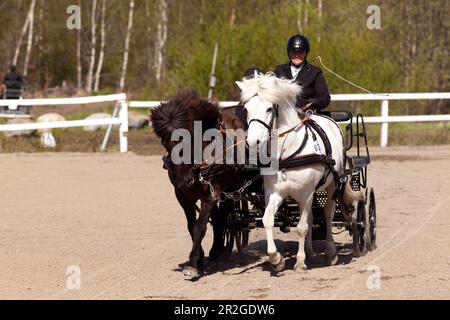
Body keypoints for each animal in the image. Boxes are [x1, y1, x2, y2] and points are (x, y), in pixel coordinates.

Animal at [150, 90, 243, 278]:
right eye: (165, 144)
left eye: (191, 140)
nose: (185, 181)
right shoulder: (182, 196)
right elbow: (190, 226)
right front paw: (199, 259)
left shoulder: (211, 195)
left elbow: (200, 227)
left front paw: (193, 263)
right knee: (218, 219)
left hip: (231, 191)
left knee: (222, 219)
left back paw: (215, 253)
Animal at [237, 74, 360, 272]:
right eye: (246, 109)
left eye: (269, 108)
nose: (253, 142)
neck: (287, 153)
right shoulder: (275, 192)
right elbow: (267, 219)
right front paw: (276, 259)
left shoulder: (306, 193)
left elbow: (302, 227)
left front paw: (300, 262)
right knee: (311, 216)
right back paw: (310, 251)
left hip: (332, 185)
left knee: (327, 214)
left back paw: (330, 253)